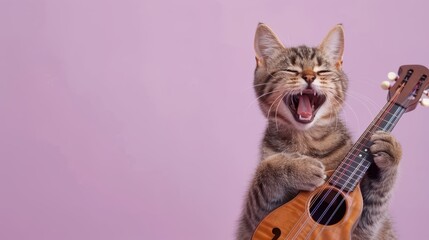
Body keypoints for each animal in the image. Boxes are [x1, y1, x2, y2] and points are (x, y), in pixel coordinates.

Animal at [237, 23, 402, 240]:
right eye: (291, 70)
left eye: (322, 71)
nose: (309, 76)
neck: (306, 140)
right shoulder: (254, 218)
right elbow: (267, 169)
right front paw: (298, 168)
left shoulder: (365, 226)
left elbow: (376, 203)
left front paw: (390, 152)